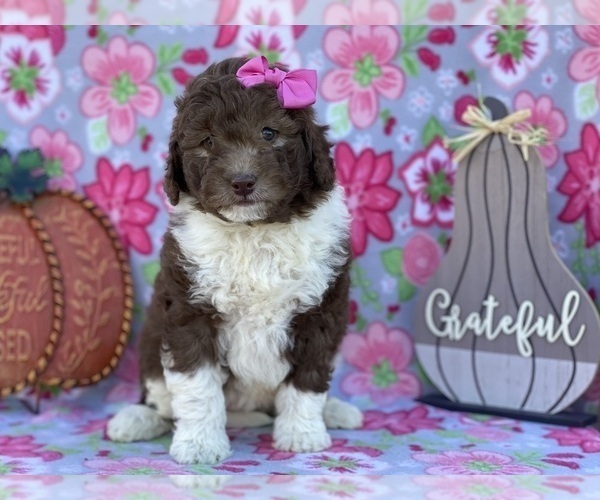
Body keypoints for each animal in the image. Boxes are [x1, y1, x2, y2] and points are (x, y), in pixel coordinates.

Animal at [106, 55, 360, 464]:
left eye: (269, 133)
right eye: (207, 141)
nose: (242, 182)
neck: (255, 230)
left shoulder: (319, 313)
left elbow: (307, 380)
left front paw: (302, 434)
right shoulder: (190, 311)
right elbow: (196, 385)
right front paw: (200, 444)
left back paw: (335, 411)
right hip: (150, 348)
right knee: (159, 399)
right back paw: (136, 420)